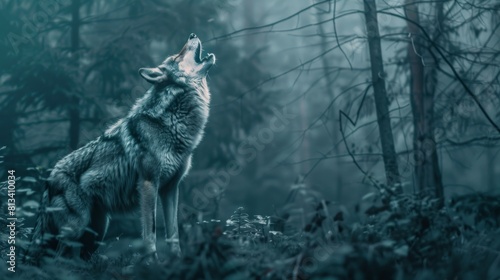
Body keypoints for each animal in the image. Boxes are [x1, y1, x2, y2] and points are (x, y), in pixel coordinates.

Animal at [27, 33, 215, 262]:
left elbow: (174, 234)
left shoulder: (171, 189)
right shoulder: (148, 184)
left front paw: (177, 261)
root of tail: (48, 179)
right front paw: (152, 263)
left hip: (96, 232)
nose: (192, 35)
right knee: (56, 258)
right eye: (177, 56)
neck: (170, 122)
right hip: (76, 227)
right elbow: (150, 233)